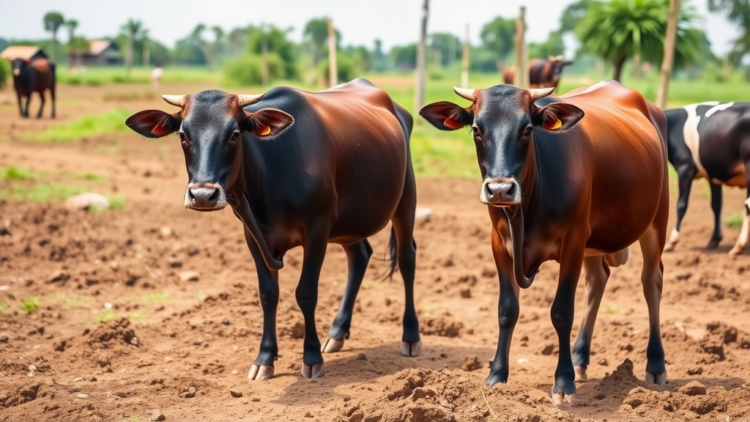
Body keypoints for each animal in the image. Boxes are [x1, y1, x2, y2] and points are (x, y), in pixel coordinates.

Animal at [124, 79, 420, 380]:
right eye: (183, 135)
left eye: (234, 135)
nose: (203, 195)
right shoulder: (253, 235)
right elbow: (268, 294)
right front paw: (265, 357)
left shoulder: (318, 227)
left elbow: (306, 293)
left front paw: (311, 357)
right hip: (351, 222)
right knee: (359, 257)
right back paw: (337, 333)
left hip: (406, 197)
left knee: (407, 258)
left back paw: (410, 337)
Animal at [419, 80, 669, 404]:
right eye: (476, 129)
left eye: (527, 129)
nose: (500, 189)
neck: (527, 209)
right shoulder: (499, 244)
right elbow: (507, 309)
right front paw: (496, 375)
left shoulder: (574, 240)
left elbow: (562, 311)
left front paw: (563, 382)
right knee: (597, 280)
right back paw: (580, 358)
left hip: (657, 220)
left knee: (651, 281)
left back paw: (655, 365)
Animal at [664, 102, 750, 255]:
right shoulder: (713, 174)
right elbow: (716, 205)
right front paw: (714, 240)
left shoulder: (685, 167)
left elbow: (681, 205)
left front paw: (671, 242)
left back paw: (738, 247)